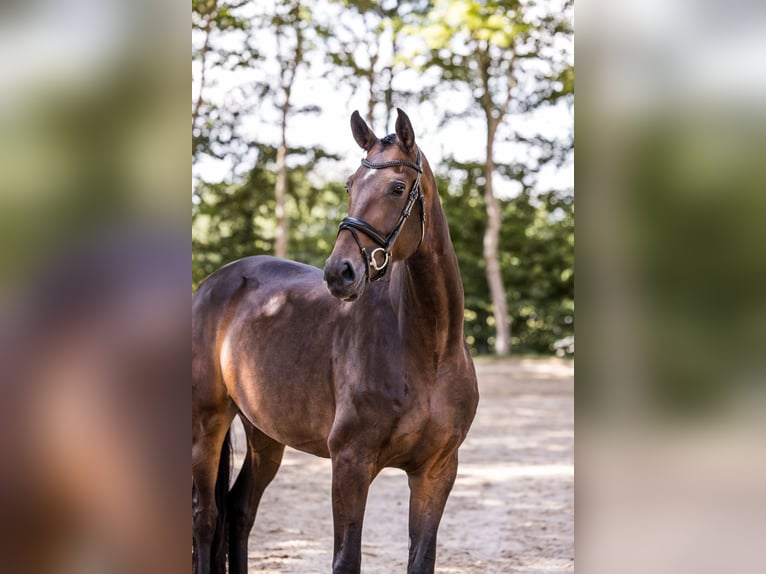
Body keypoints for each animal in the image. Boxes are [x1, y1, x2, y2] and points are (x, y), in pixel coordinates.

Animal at [192, 108, 479, 574]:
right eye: (350, 185)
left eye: (397, 187)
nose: (339, 273)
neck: (430, 351)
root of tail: (212, 285)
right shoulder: (350, 464)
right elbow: (346, 560)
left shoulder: (437, 472)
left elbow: (421, 558)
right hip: (207, 423)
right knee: (205, 517)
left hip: (264, 433)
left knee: (238, 510)